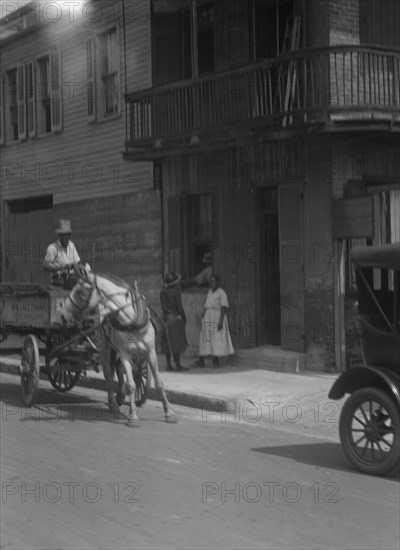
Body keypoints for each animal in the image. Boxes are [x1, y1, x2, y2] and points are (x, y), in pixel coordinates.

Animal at [60, 266, 177, 430]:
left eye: (79, 291)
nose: (63, 313)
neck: (132, 320)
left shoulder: (150, 352)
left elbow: (158, 383)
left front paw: (169, 413)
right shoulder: (125, 353)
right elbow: (131, 385)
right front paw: (133, 417)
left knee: (119, 370)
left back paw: (120, 397)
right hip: (104, 347)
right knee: (109, 375)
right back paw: (113, 403)